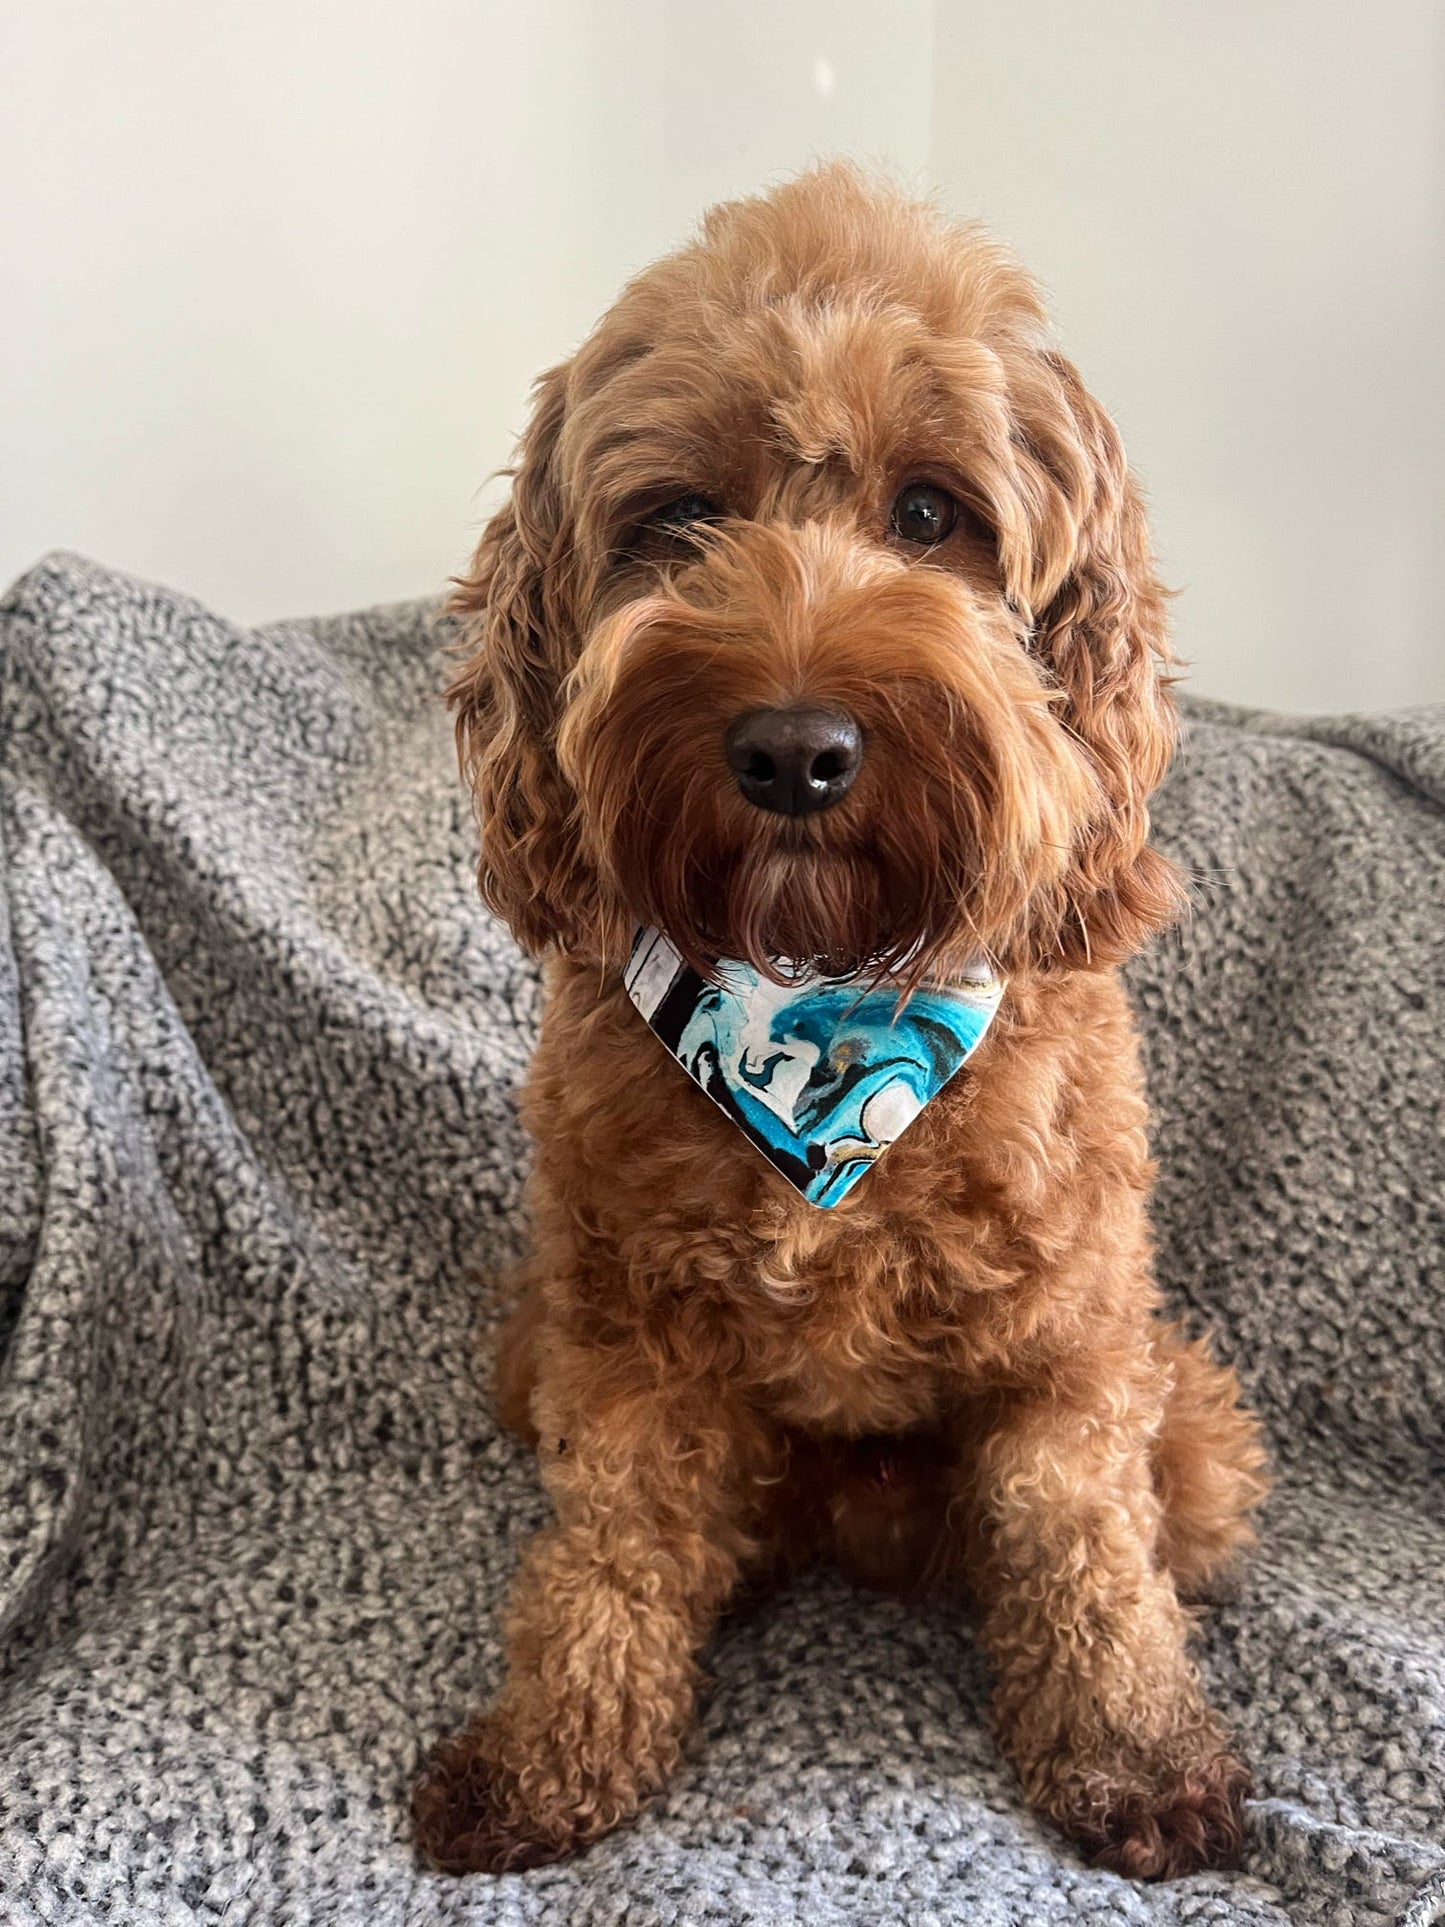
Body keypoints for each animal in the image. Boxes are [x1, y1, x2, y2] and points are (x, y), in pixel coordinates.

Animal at [412, 161, 1271, 1880]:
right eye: (677, 520)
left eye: (933, 513)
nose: (794, 747)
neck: (822, 987)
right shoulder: (620, 1342)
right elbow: (610, 1548)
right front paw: (553, 1750)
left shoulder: (1074, 1349)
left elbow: (1086, 1548)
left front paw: (1133, 1751)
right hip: (532, 1346)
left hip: (1197, 1425)